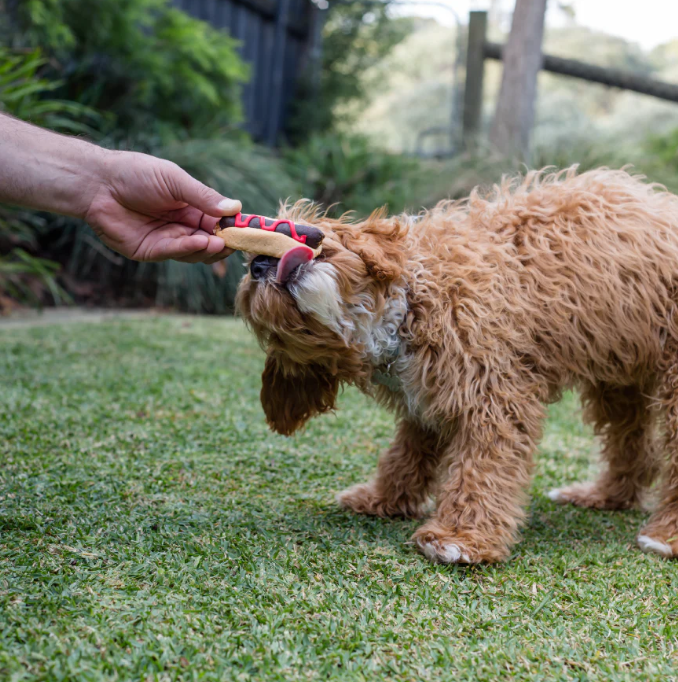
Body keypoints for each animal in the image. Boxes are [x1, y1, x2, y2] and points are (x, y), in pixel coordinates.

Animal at [235, 167, 678, 560]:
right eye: (263, 308)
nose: (257, 264)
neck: (410, 303)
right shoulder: (428, 391)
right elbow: (407, 450)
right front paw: (383, 498)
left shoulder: (492, 392)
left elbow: (482, 466)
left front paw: (460, 538)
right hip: (618, 371)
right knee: (634, 444)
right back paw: (605, 495)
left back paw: (664, 536)